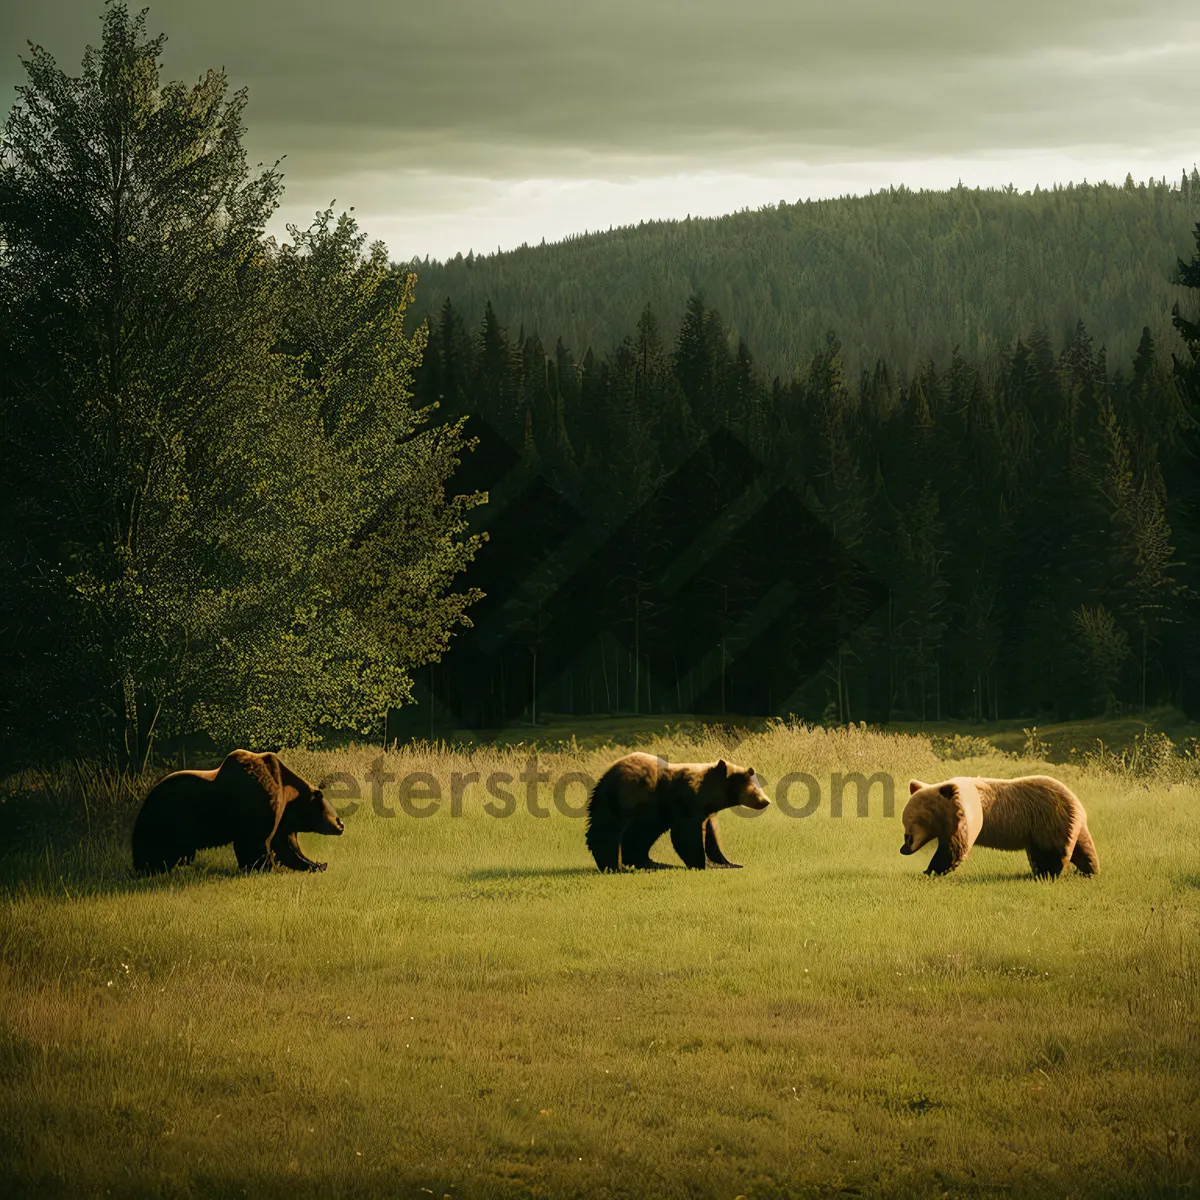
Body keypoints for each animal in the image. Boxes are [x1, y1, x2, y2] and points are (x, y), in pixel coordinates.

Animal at [133, 748, 345, 873]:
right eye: (331, 811)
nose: (341, 824)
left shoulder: (283, 815)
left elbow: (285, 844)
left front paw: (313, 863)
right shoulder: (259, 804)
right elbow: (256, 842)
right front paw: (263, 867)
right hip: (166, 816)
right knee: (156, 849)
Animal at [588, 748, 768, 873]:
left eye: (757, 784)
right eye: (752, 788)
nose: (766, 801)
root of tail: (609, 771)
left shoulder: (707, 812)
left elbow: (712, 837)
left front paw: (728, 862)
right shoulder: (686, 805)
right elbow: (687, 835)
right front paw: (701, 864)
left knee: (639, 835)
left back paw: (649, 862)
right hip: (627, 797)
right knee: (609, 829)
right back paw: (613, 865)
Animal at [902, 772, 1099, 878]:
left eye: (914, 821)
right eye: (905, 824)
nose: (904, 848)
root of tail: (1078, 805)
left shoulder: (966, 818)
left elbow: (954, 847)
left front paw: (930, 870)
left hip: (1049, 820)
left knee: (1052, 853)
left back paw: (1047, 873)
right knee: (1082, 848)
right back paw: (1089, 869)